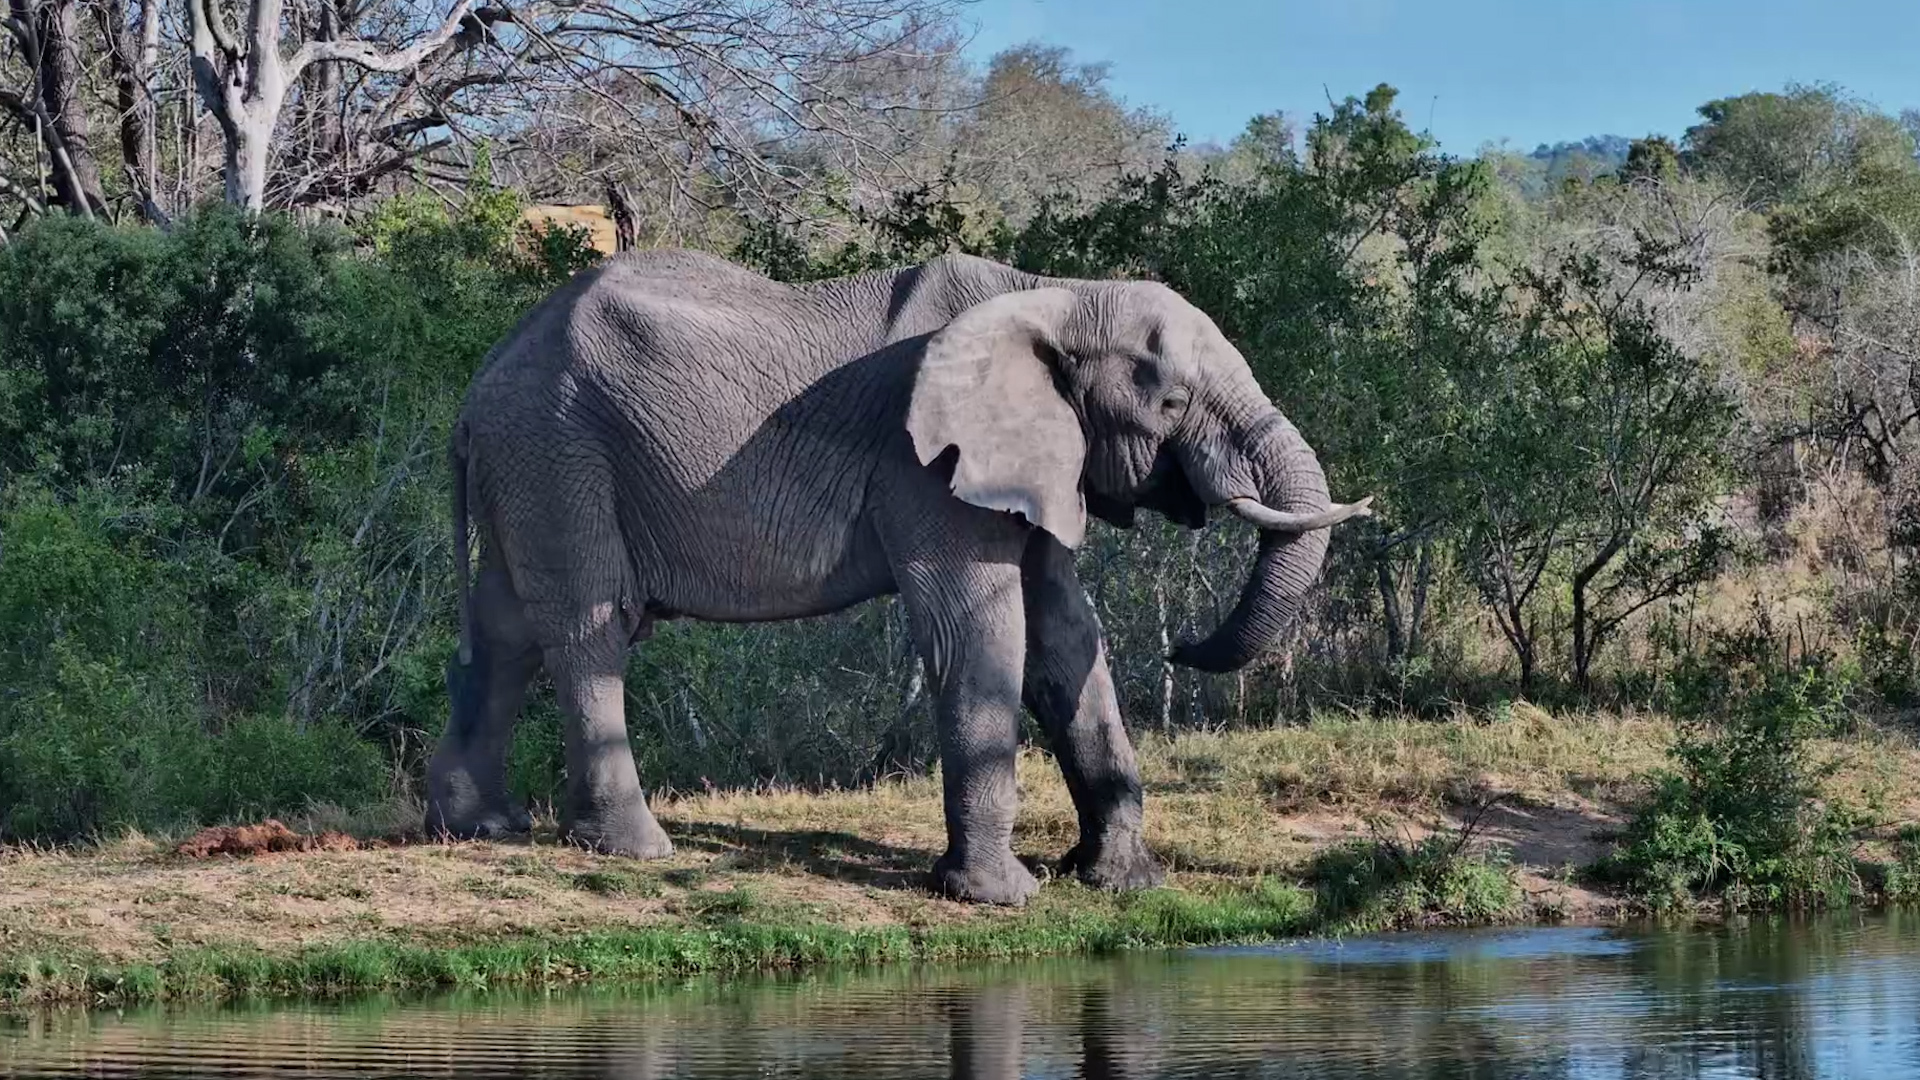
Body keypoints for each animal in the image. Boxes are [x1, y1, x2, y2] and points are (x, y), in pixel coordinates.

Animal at [425, 248, 1371, 905]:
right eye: (1170, 403)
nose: (1182, 648)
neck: (1053, 292)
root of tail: (473, 392)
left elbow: (1067, 637)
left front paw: (1125, 884)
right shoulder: (926, 464)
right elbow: (981, 629)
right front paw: (1001, 898)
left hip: (532, 460)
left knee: (505, 633)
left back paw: (479, 827)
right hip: (559, 448)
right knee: (588, 629)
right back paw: (635, 850)